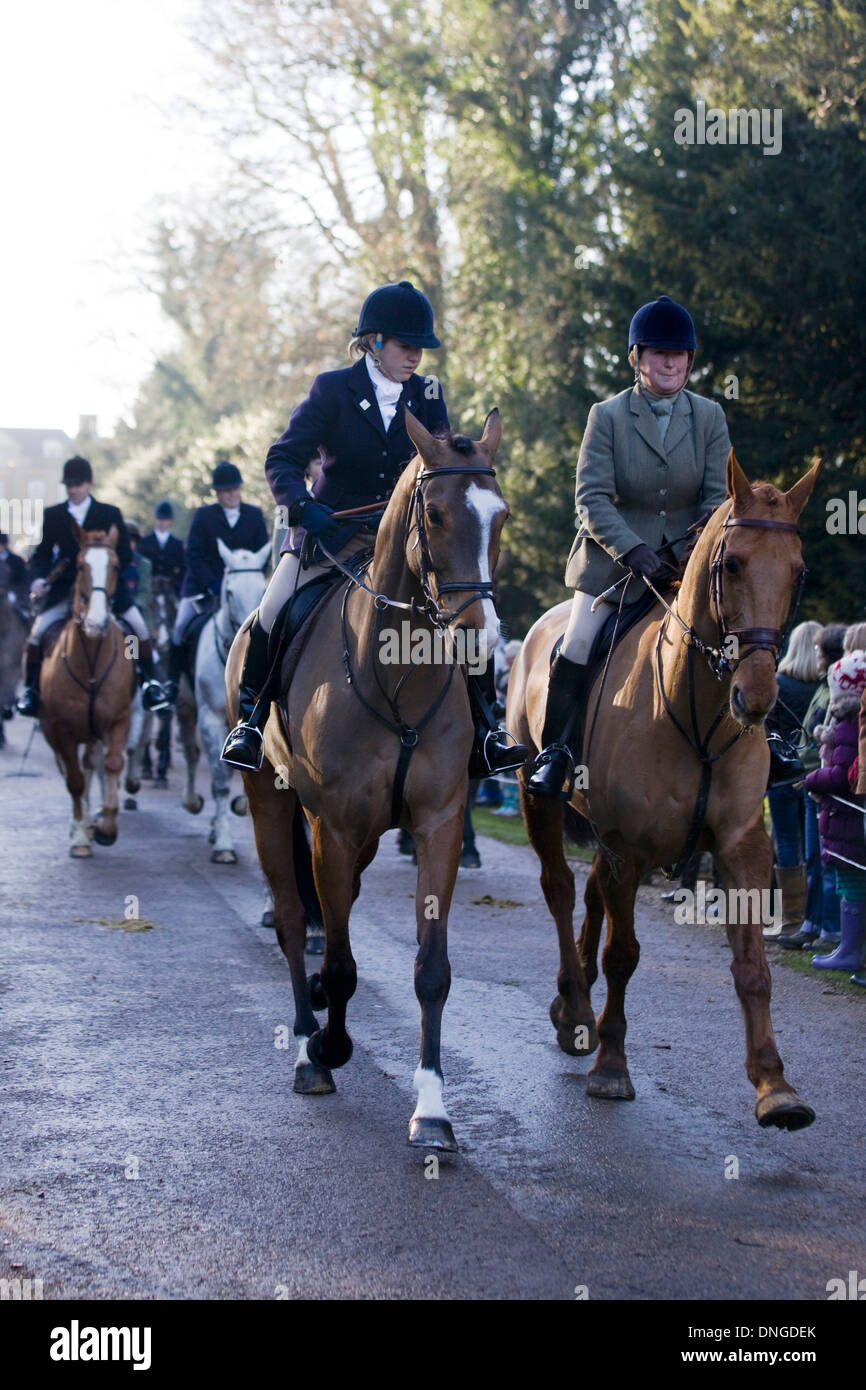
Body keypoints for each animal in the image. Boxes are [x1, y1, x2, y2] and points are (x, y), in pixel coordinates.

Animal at [187, 539, 269, 856]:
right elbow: (220, 783)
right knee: (190, 753)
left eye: (262, 587)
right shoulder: (210, 719)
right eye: (230, 592)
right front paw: (223, 843)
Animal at [226, 405, 505, 1145]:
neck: (400, 674)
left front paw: (432, 1110)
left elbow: (431, 970)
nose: (480, 639)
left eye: (500, 516)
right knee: (296, 919)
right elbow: (342, 962)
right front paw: (328, 1044)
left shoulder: (436, 824)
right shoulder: (337, 826)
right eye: (435, 513)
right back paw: (306, 1044)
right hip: (272, 802)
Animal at [511, 450, 822, 1134]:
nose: (757, 699)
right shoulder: (628, 846)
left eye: (798, 572)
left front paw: (776, 1087)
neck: (698, 710)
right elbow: (623, 955)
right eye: (732, 564)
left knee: (592, 893)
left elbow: (752, 967)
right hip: (539, 799)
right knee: (561, 889)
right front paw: (610, 1065)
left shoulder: (741, 846)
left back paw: (576, 1005)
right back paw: (577, 1011)